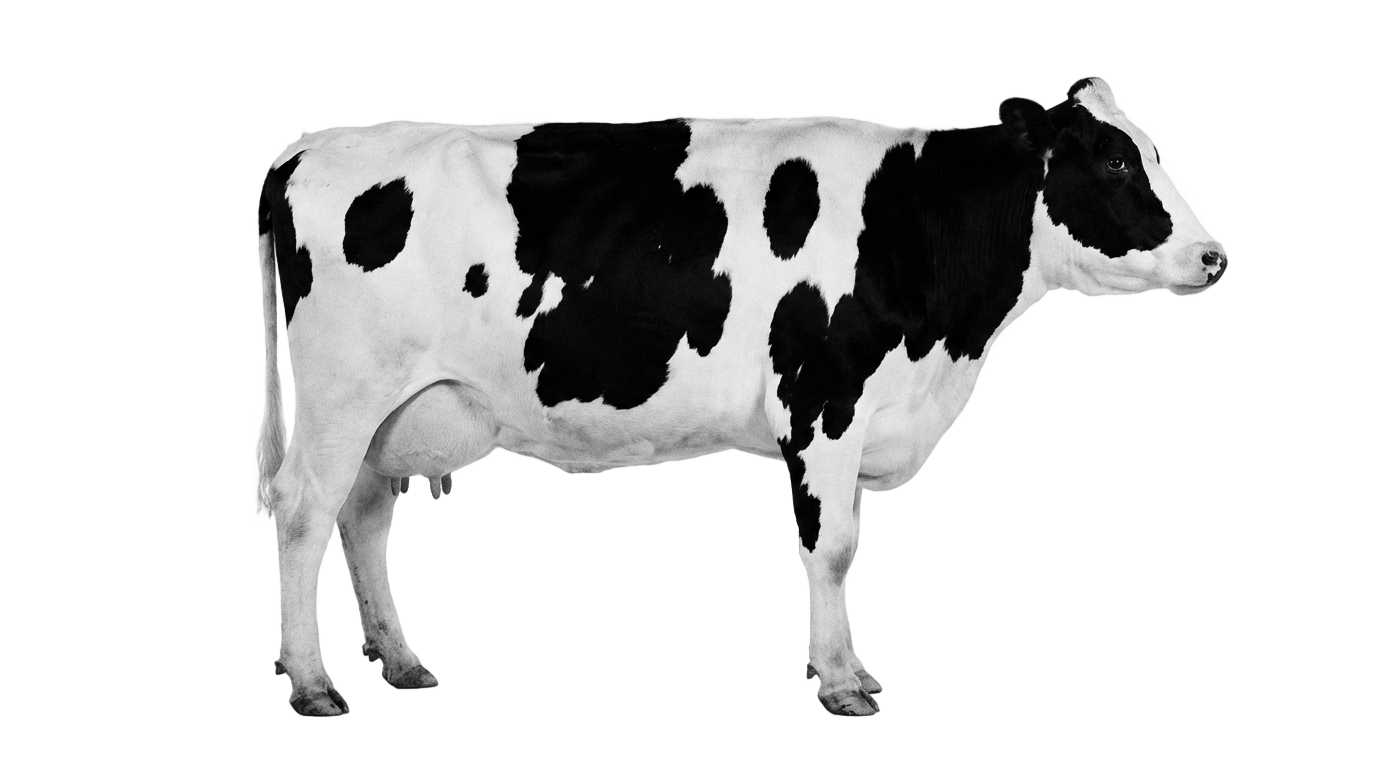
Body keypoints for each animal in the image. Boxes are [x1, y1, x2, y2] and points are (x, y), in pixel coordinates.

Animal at [248, 75, 1226, 717]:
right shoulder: (825, 403)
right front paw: (842, 683)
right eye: (1112, 162)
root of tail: (304, 156)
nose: (1212, 254)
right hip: (342, 393)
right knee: (303, 515)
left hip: (393, 409)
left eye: (1146, 151)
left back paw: (397, 661)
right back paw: (310, 682)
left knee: (360, 516)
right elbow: (831, 549)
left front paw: (824, 672)